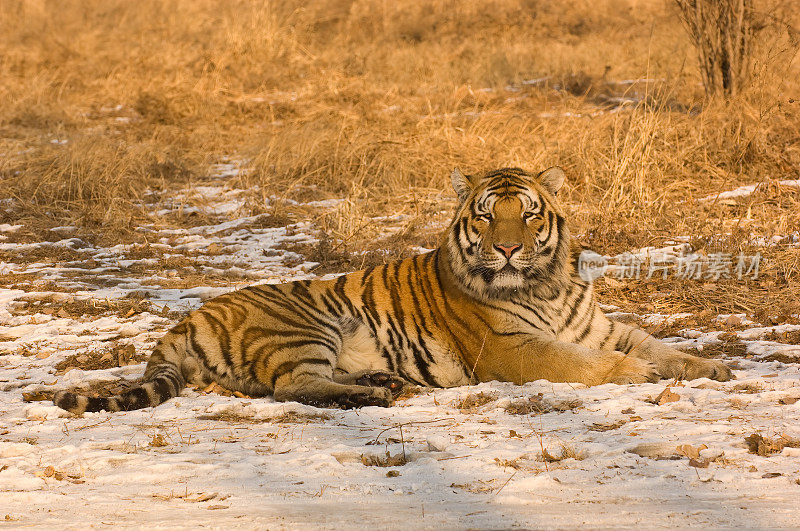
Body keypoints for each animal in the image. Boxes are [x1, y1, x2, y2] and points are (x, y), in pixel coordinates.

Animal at [51, 166, 732, 416]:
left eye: (529, 214)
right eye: (487, 216)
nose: (509, 249)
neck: (547, 285)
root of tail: (184, 321)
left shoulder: (601, 325)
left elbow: (662, 346)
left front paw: (714, 369)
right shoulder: (512, 349)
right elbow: (588, 364)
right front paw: (637, 375)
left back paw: (387, 383)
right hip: (306, 325)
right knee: (292, 386)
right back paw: (377, 396)